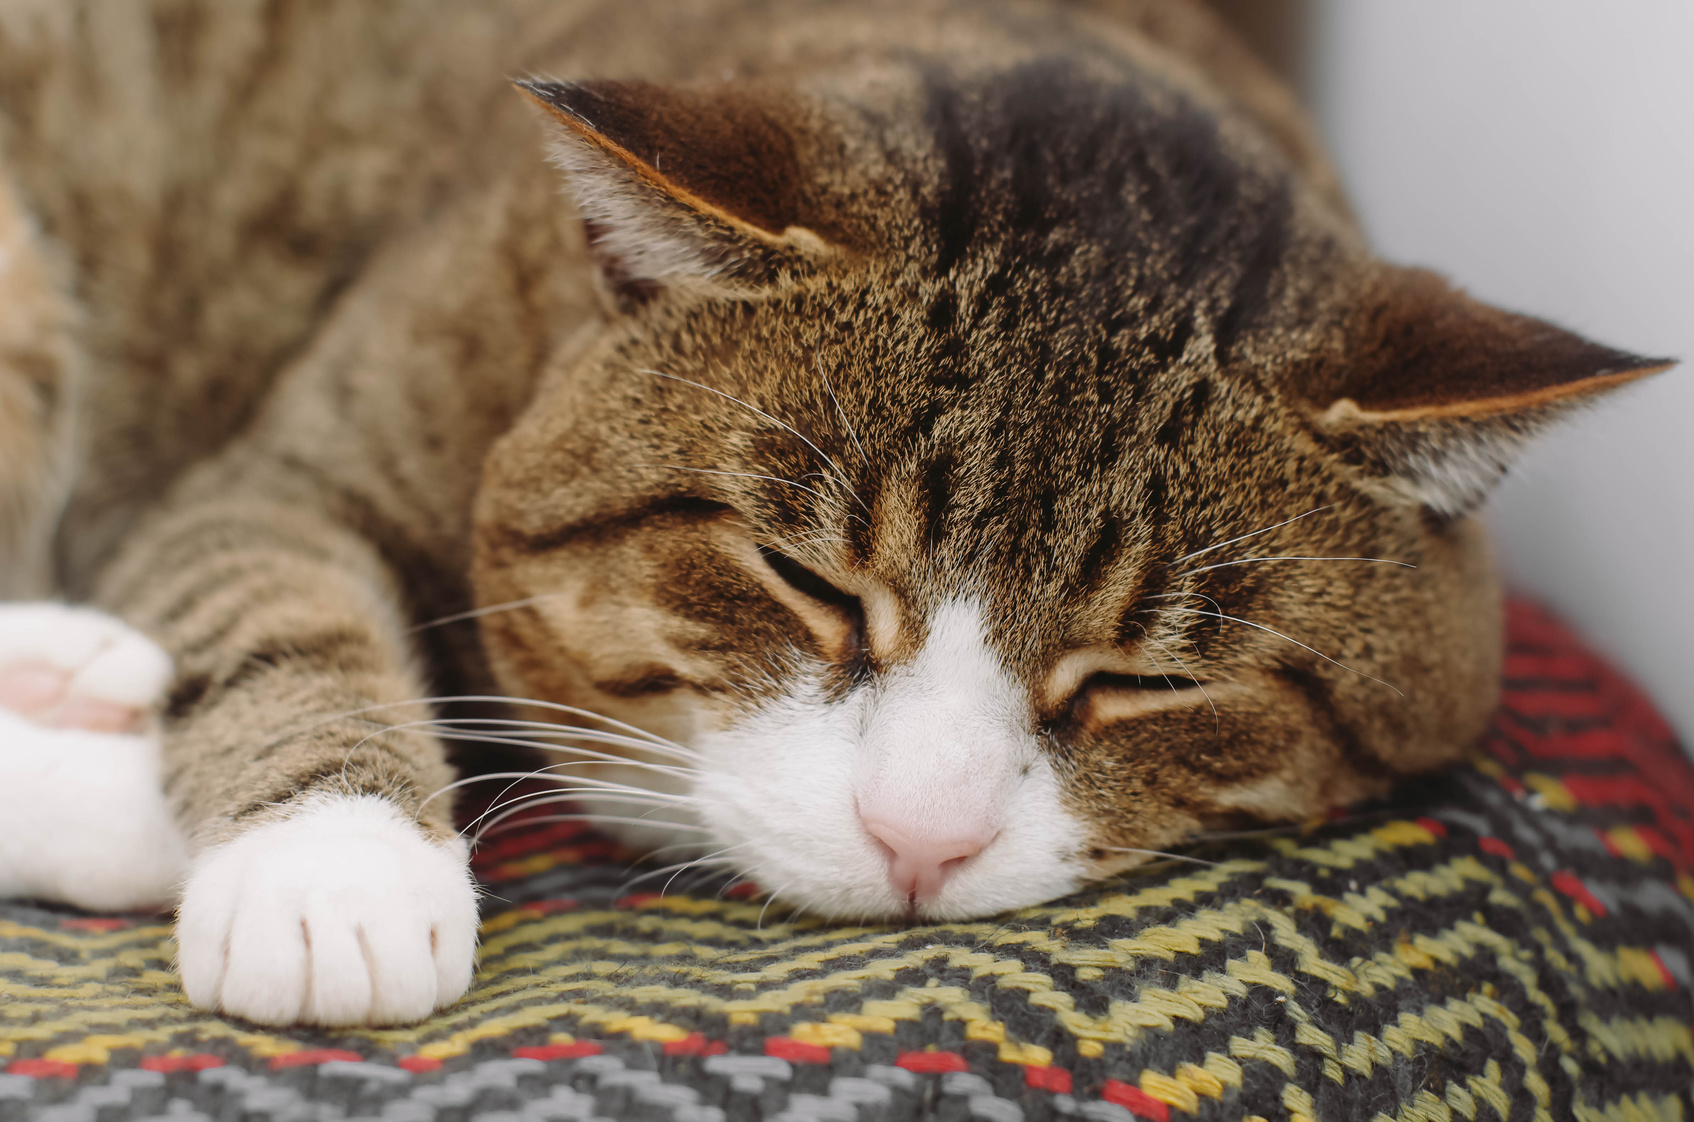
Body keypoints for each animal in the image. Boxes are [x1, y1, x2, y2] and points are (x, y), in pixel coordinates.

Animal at [0, 0, 1666, 1030]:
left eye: (1144, 677)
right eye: (807, 580)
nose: (918, 839)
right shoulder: (283, 469)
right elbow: (273, 598)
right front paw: (335, 865)